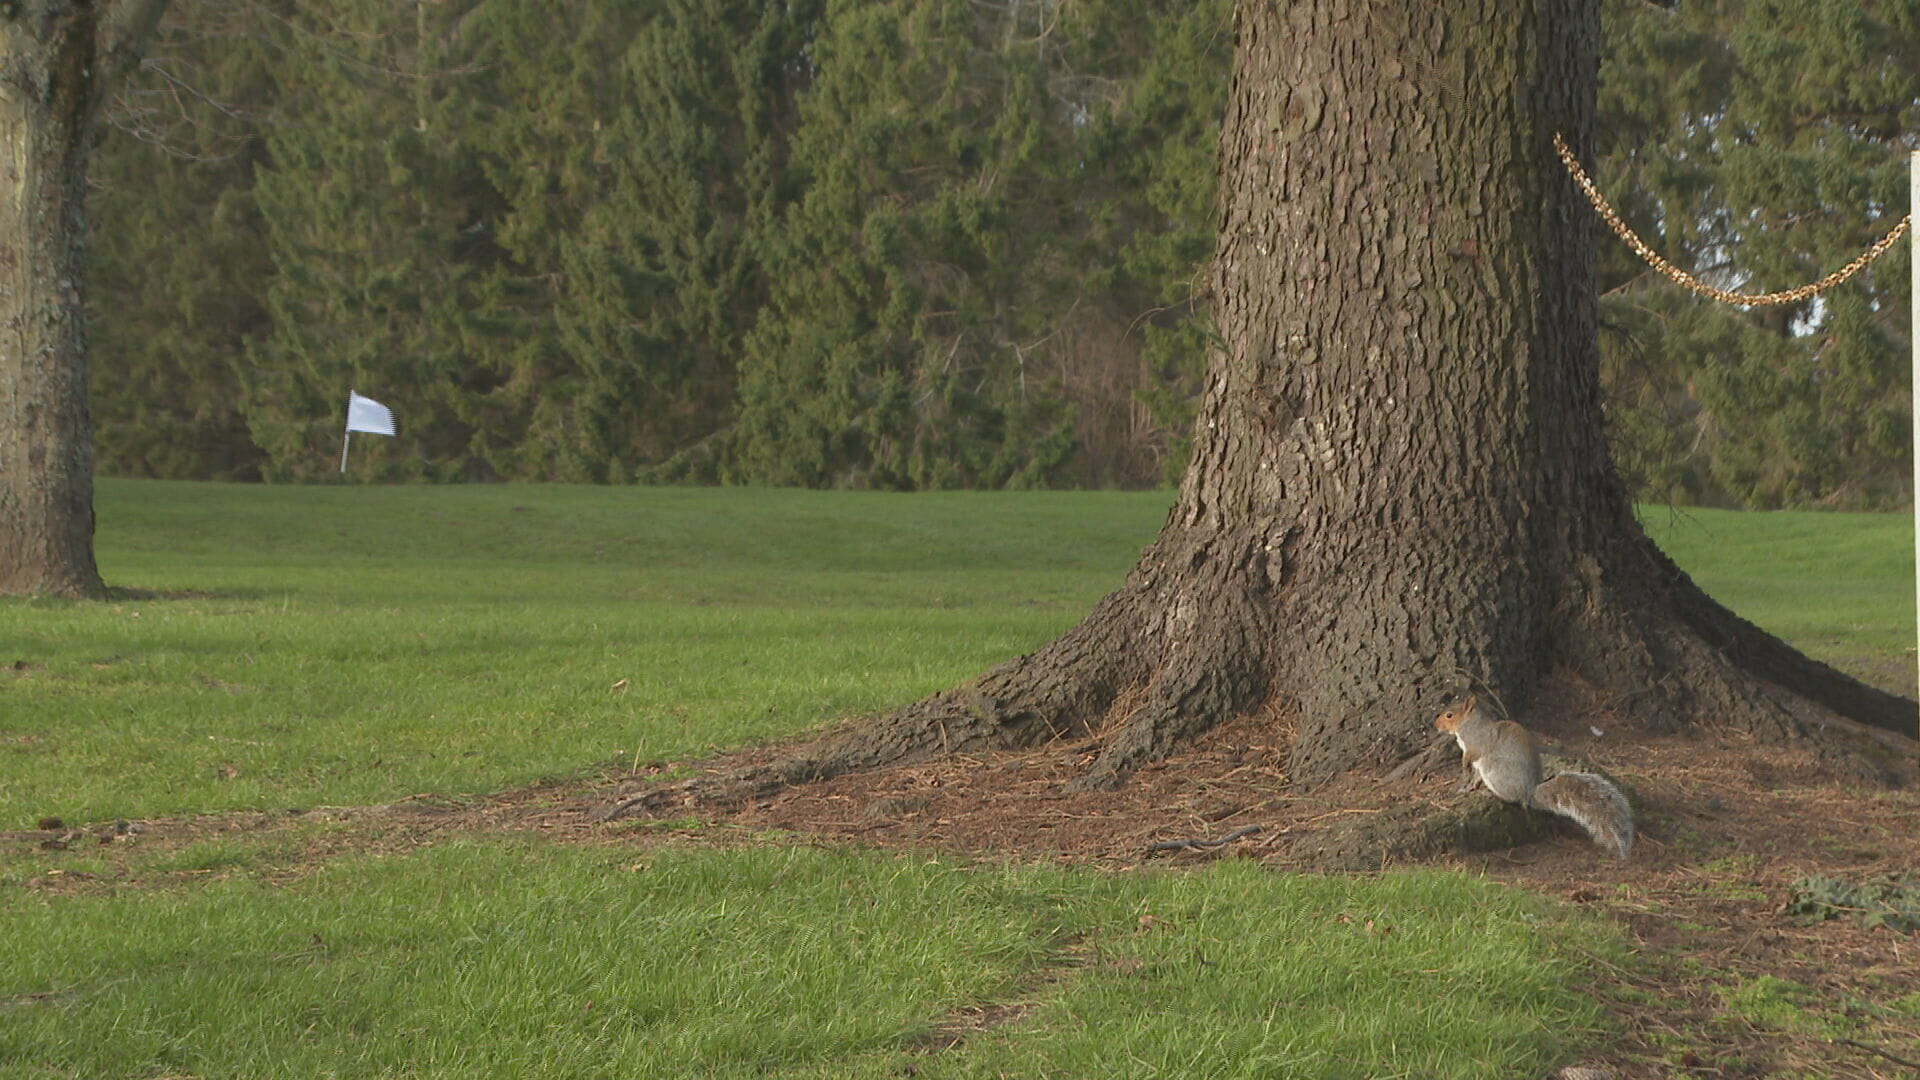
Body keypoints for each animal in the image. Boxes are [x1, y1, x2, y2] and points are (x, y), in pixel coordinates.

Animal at [1436, 691, 1628, 860]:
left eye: (1449, 715)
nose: (1436, 725)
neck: (1470, 723)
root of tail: (1529, 792)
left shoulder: (1476, 744)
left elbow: (1470, 755)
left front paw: (1464, 767)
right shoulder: (1477, 764)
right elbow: (1474, 777)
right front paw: (1468, 788)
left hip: (1495, 771)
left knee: (1512, 799)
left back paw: (1492, 793)